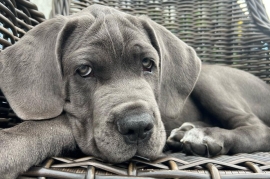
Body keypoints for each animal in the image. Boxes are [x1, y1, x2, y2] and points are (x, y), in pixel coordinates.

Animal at [0, 4, 270, 178]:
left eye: (148, 64)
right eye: (84, 70)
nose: (138, 126)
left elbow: (51, 124)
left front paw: (8, 144)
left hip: (209, 78)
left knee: (257, 128)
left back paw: (205, 135)